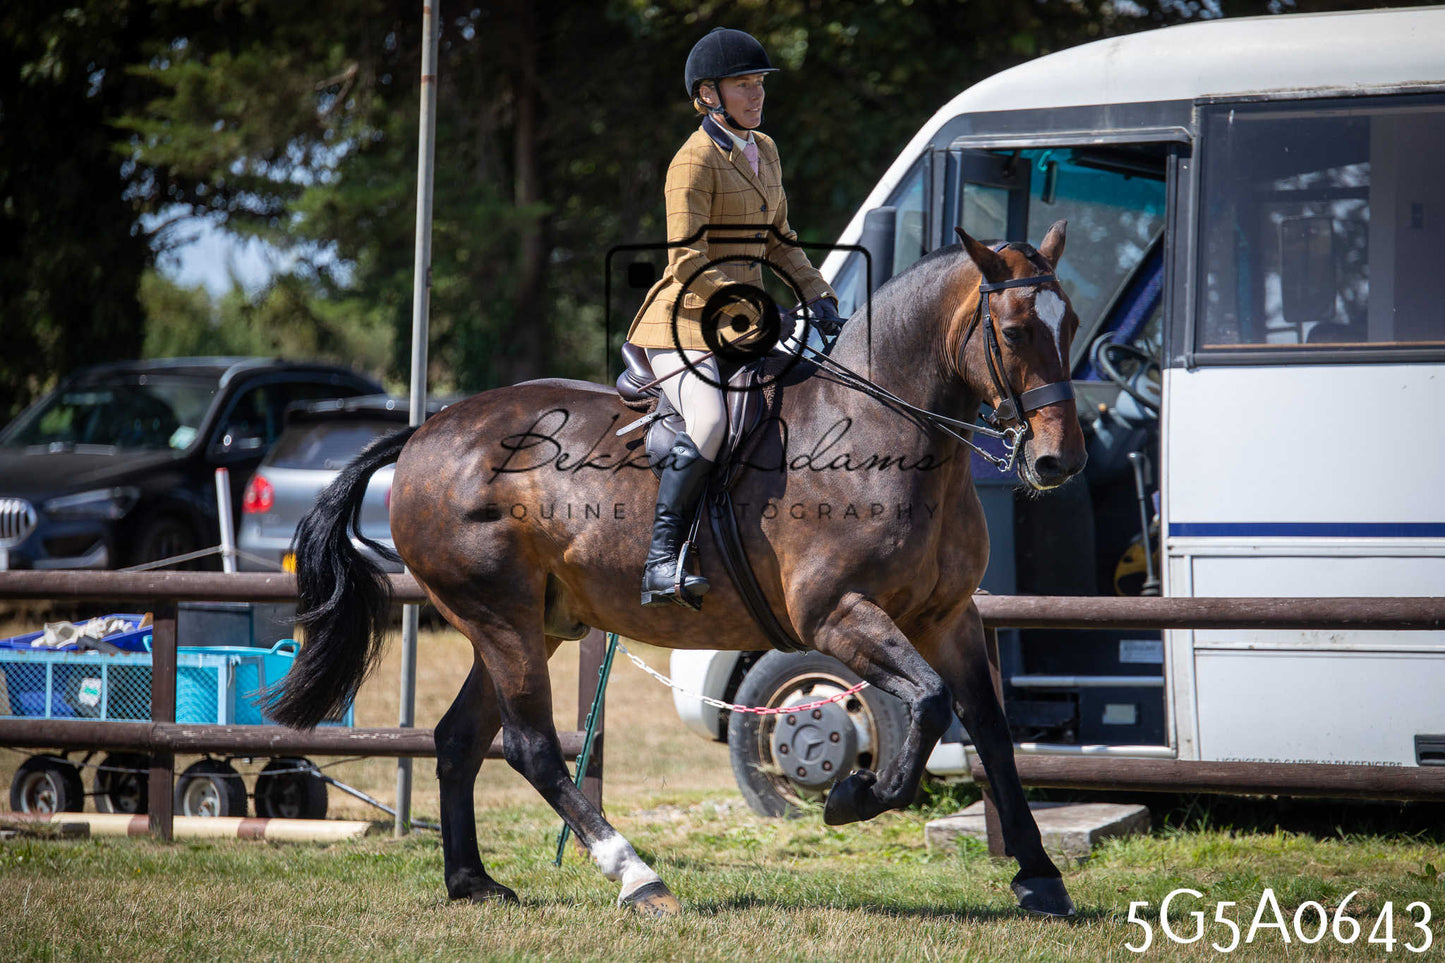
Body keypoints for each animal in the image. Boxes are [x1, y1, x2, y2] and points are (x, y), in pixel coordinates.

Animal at [267, 222, 1087, 918]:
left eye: (1072, 324)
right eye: (1014, 331)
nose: (1060, 461)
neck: (894, 437)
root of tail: (425, 431)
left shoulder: (949, 617)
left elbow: (989, 728)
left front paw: (1039, 878)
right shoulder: (836, 614)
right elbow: (927, 703)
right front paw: (853, 796)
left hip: (532, 624)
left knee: (457, 740)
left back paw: (471, 882)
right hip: (499, 618)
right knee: (531, 748)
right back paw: (638, 878)